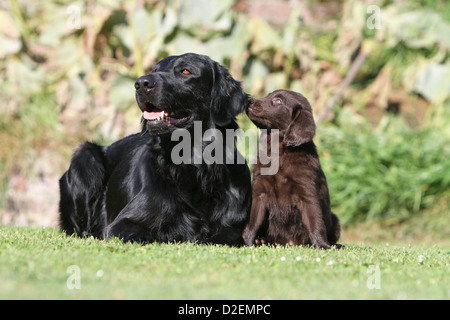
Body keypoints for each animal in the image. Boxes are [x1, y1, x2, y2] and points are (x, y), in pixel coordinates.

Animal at [59, 53, 253, 245]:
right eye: (154, 70)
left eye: (186, 71)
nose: (141, 83)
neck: (194, 168)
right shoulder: (121, 223)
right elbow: (141, 234)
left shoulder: (233, 225)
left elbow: (227, 236)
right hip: (86, 157)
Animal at [243, 90, 342, 250]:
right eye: (268, 95)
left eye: (278, 100)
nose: (248, 101)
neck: (279, 152)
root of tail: (289, 243)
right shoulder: (259, 193)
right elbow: (253, 222)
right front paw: (248, 243)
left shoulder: (307, 193)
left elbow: (315, 222)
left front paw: (322, 245)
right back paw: (261, 240)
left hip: (335, 219)